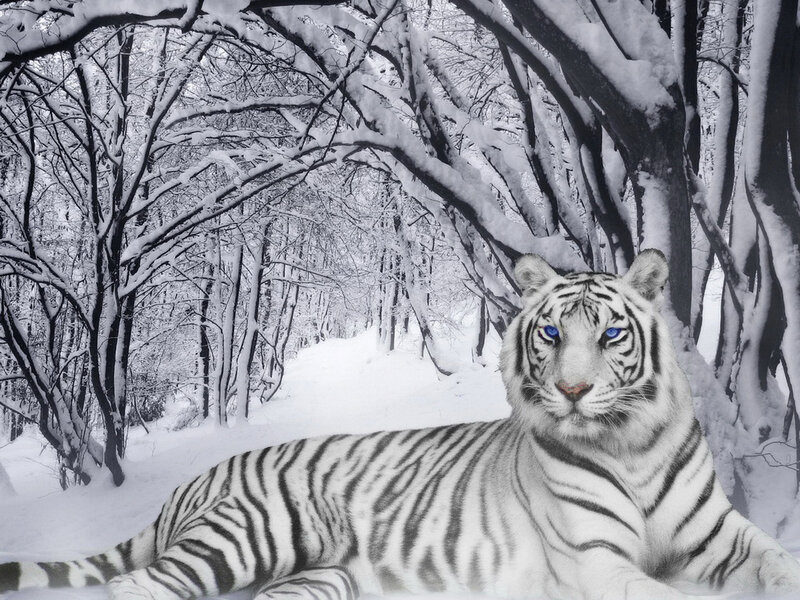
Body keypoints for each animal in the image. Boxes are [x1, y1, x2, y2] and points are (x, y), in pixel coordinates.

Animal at [1, 249, 799, 600]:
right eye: (549, 333)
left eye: (609, 334)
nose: (572, 391)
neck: (631, 443)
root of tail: (189, 484)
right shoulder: (596, 559)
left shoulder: (719, 535)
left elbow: (777, 559)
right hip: (250, 535)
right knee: (136, 590)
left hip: (316, 583)